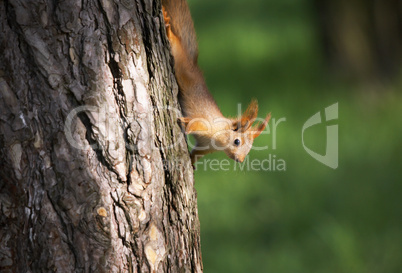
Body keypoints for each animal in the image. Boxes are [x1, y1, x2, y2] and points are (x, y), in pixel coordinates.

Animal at [162, 0, 272, 164]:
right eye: (237, 142)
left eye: (249, 149)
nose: (240, 160)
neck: (218, 141)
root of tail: (193, 65)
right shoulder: (207, 125)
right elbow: (195, 123)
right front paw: (186, 125)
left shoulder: (204, 147)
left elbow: (196, 154)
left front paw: (192, 164)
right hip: (181, 64)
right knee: (175, 43)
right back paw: (166, 24)